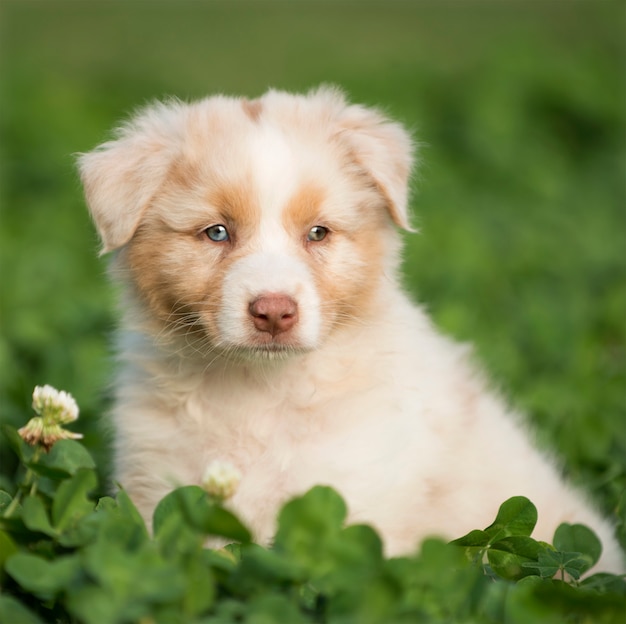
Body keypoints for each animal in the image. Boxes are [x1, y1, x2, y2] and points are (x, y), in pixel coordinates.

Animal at [79, 85, 620, 572]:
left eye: (318, 233)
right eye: (217, 232)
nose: (273, 312)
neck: (259, 389)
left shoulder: (360, 489)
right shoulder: (161, 483)